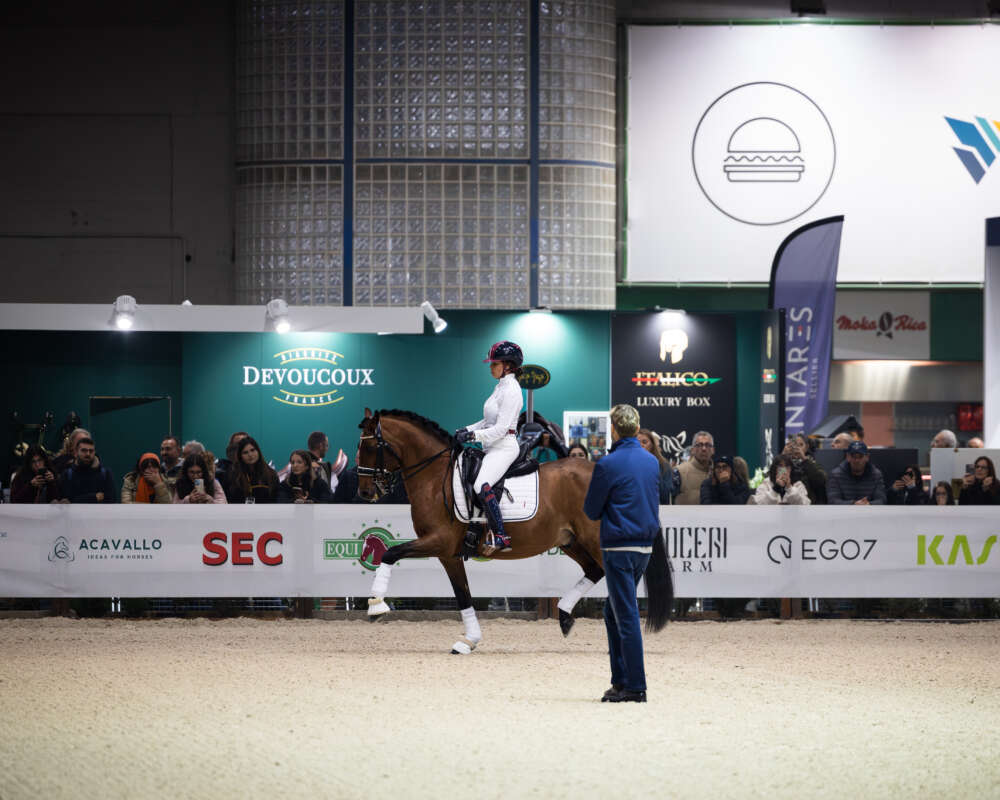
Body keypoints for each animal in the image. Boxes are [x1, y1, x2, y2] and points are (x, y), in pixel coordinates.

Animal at [355, 408, 673, 653]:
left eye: (369, 447)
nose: (365, 492)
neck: (435, 479)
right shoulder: (449, 554)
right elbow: (463, 595)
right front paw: (469, 641)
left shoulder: (439, 542)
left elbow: (391, 554)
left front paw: (376, 606)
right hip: (571, 541)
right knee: (595, 570)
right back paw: (565, 616)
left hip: (593, 539)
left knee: (621, 575)